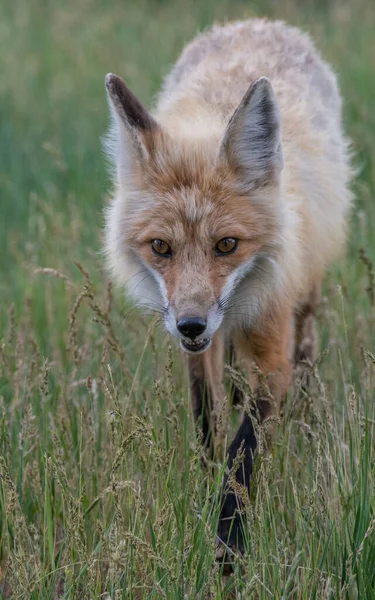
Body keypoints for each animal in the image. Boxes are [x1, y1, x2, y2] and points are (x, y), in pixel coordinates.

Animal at [102, 17, 352, 564]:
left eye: (227, 245)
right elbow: (207, 416)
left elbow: (245, 450)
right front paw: (204, 483)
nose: (190, 324)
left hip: (308, 292)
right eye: (161, 247)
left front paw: (228, 543)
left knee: (305, 347)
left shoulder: (272, 348)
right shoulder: (197, 349)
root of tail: (254, 23)